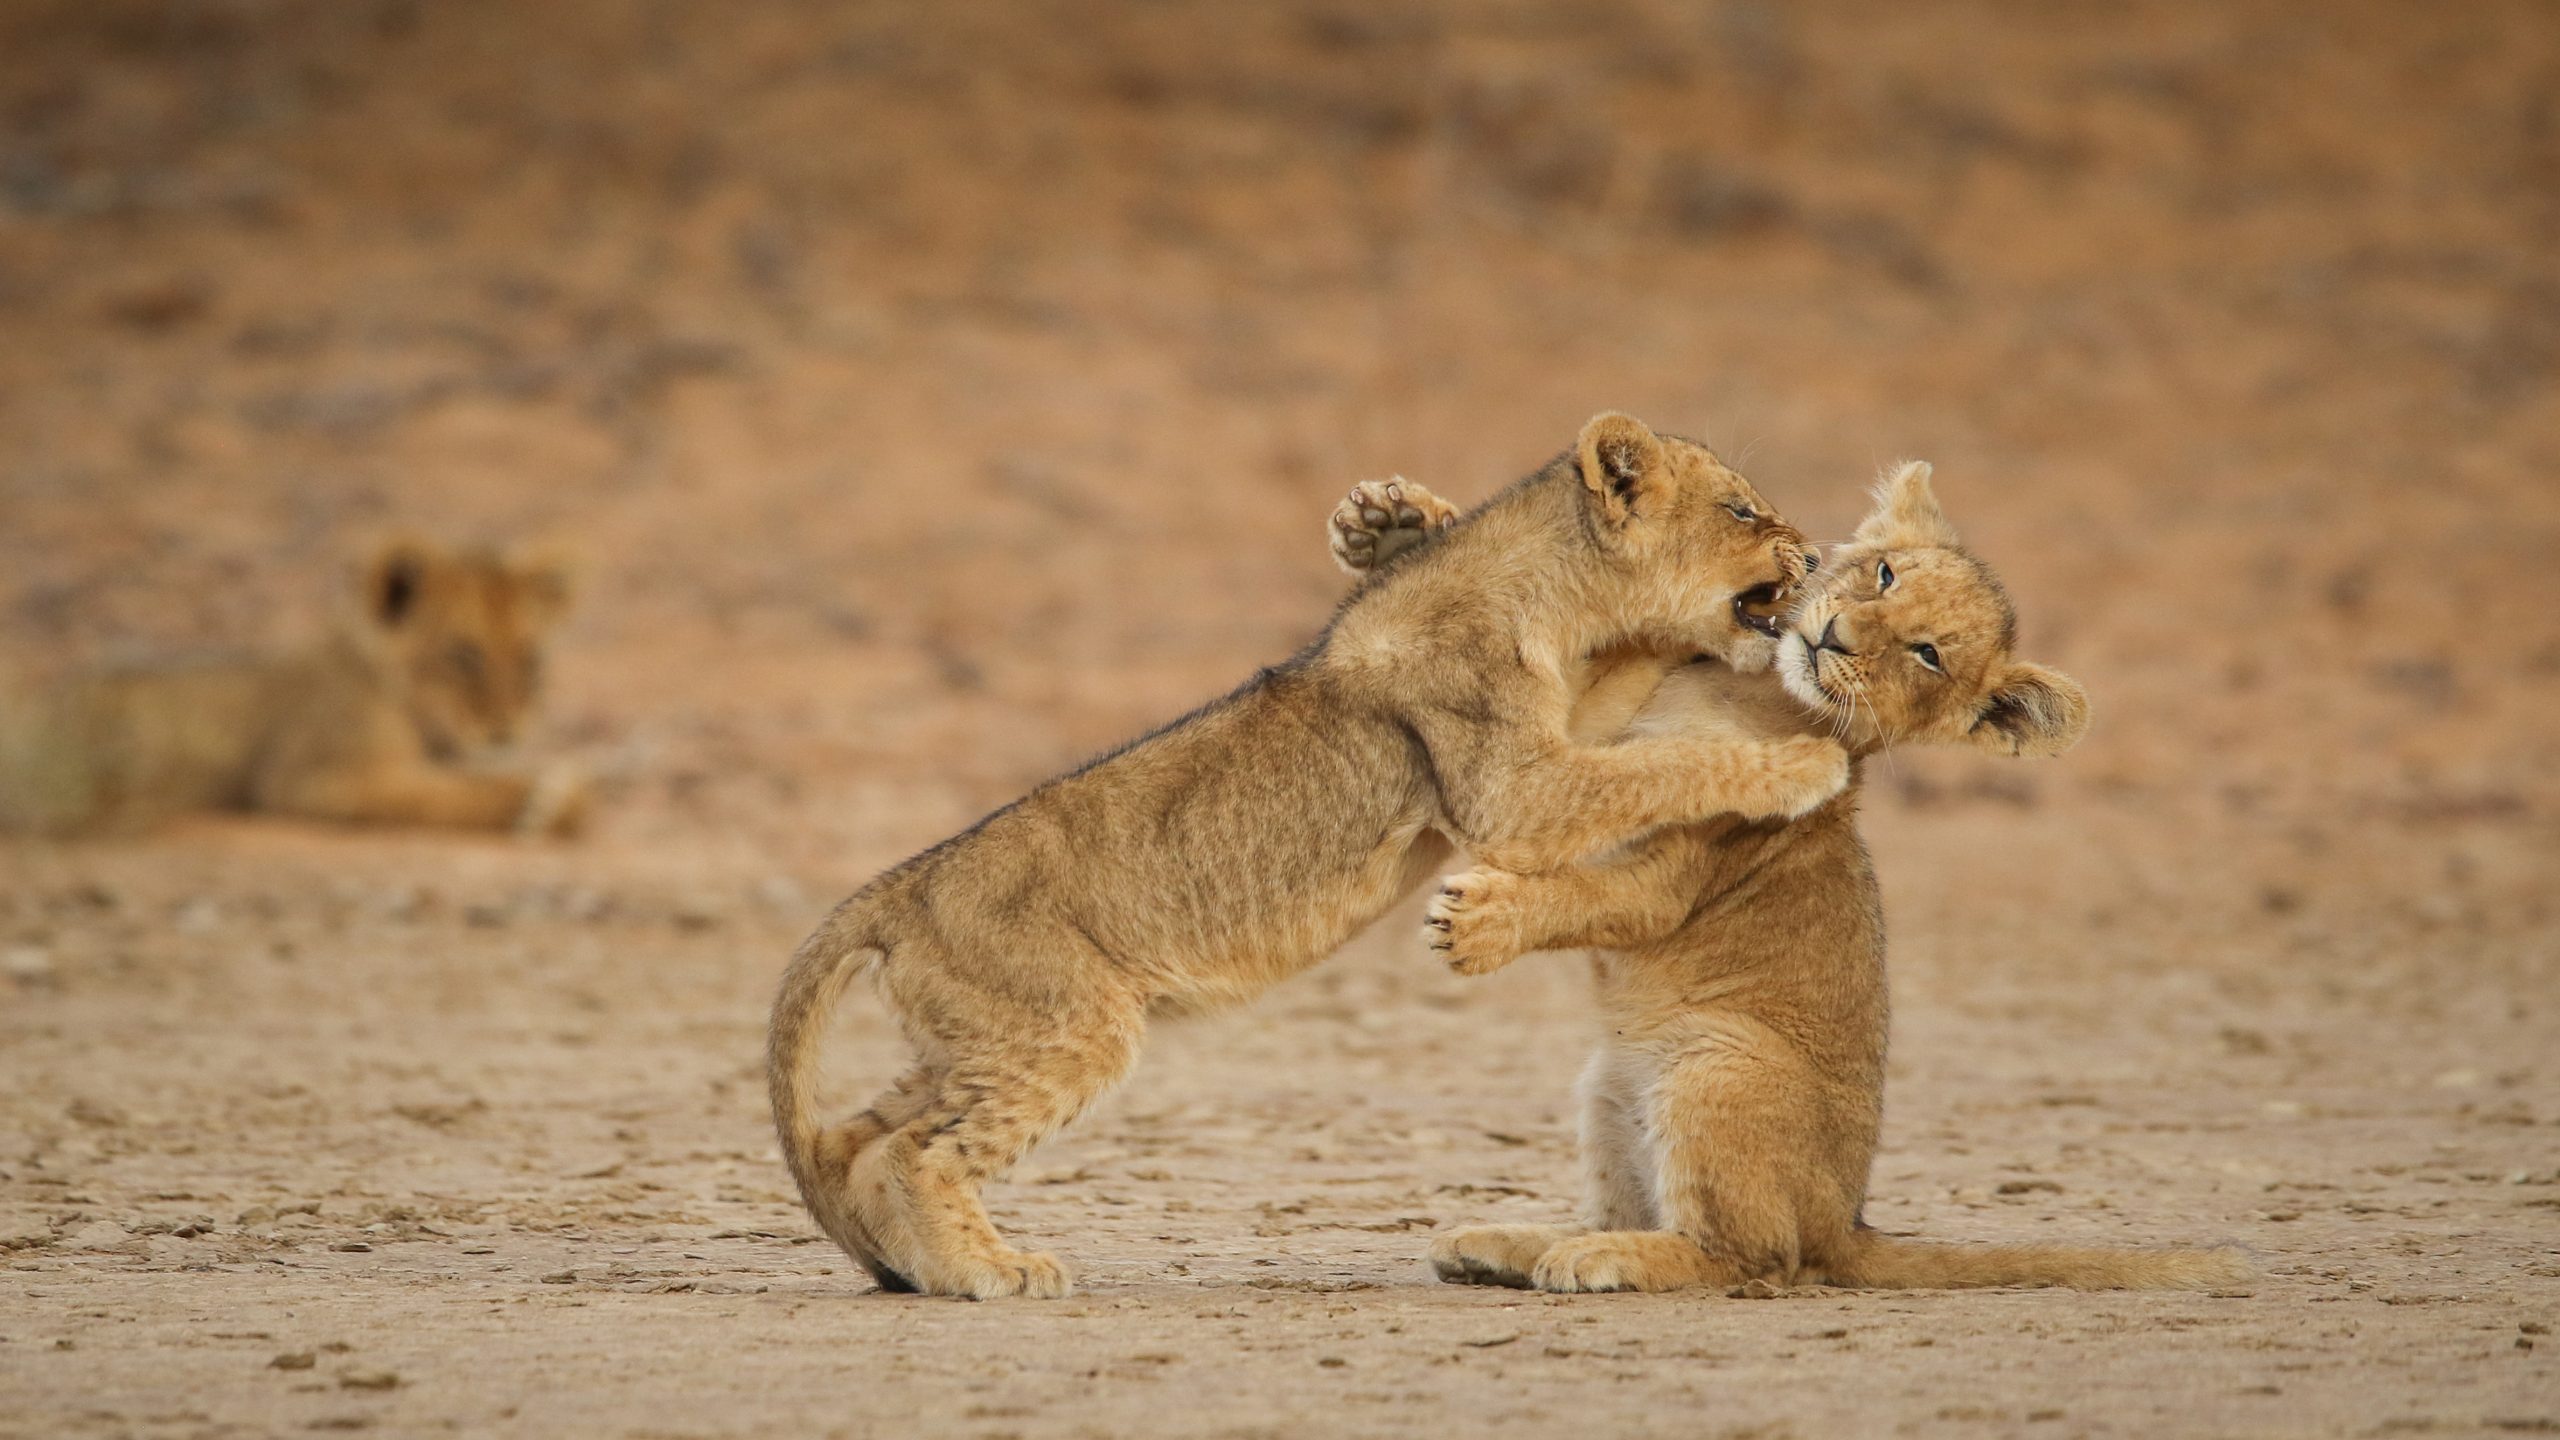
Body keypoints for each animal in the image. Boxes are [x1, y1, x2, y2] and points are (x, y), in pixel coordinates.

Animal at [0, 538, 586, 838]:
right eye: (464, 656)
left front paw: (567, 796)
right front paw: (539, 803)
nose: (506, 730)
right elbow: (428, 793)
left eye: (530, 660)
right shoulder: (309, 776)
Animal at [768, 412, 1843, 1299]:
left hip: (973, 1037)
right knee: (916, 1153)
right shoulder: (1511, 789)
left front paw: (1395, 519)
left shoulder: (1546, 742)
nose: (1816, 553)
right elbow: (1665, 762)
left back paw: (906, 1263)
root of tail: (897, 890)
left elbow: (1637, 703)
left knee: (854, 1139)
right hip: (1064, 1028)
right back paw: (983, 1270)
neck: (1543, 595)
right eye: (1743, 509)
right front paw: (1803, 763)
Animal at [1334, 464, 2247, 1293]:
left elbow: (1599, 894)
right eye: (1885, 575)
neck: (1749, 688)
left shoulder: (1680, 867)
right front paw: (1393, 527)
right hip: (1605, 1087)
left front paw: (1477, 923)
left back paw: (1601, 1259)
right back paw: (1502, 1245)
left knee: (1752, 1260)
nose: (1834, 636)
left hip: (1719, 1066)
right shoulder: (1598, 730)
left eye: (1927, 655)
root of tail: (1845, 1222)